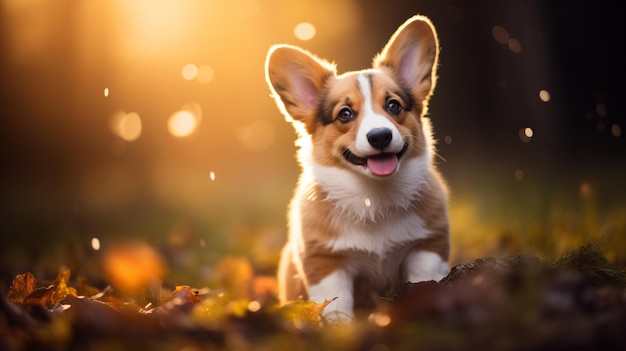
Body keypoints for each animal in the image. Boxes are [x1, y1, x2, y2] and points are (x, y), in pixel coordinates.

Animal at [264, 15, 448, 320]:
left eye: (394, 106)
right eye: (345, 114)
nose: (380, 136)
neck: (373, 197)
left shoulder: (428, 247)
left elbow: (426, 281)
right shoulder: (326, 263)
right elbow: (335, 307)